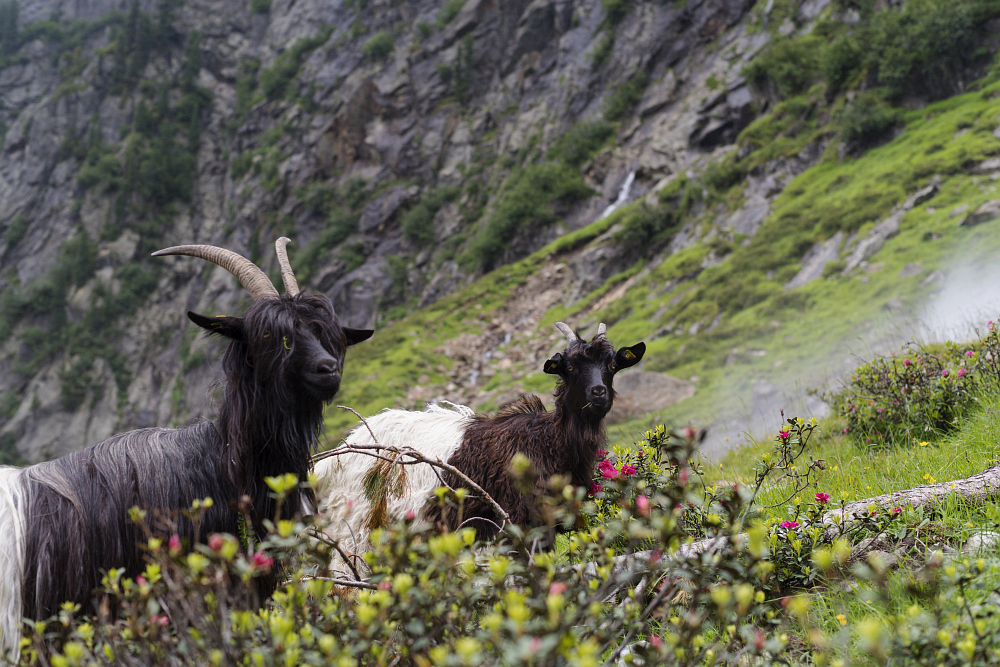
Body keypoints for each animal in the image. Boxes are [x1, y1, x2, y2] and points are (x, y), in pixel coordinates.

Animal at [312, 320, 644, 560]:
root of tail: (343, 448)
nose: (598, 393)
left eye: (612, 366)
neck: (547, 440)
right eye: (571, 367)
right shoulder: (518, 519)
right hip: (358, 521)